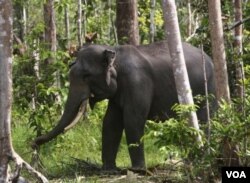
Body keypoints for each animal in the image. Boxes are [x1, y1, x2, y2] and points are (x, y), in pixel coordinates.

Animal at [31, 40, 216, 171]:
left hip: (207, 91)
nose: (34, 144)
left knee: (205, 120)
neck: (114, 51)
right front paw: (109, 170)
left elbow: (133, 120)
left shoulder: (137, 81)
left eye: (86, 76)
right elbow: (111, 122)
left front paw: (138, 170)